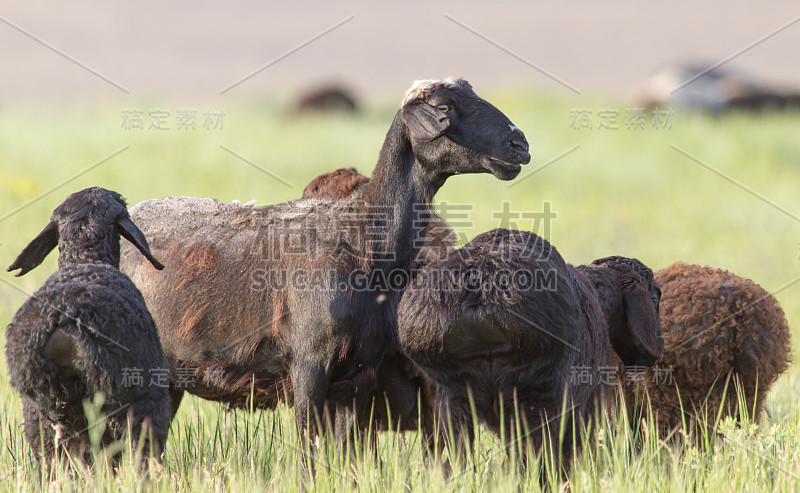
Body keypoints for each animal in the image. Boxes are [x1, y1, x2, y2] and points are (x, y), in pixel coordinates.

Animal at [120, 78, 532, 442]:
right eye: (444, 107)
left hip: (172, 374)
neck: (363, 241)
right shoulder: (308, 364)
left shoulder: (355, 378)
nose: (520, 144)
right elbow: (309, 449)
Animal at [396, 231, 664, 468]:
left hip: (451, 400)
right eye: (655, 298)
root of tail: (481, 290)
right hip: (537, 397)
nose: (659, 345)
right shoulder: (585, 405)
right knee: (538, 458)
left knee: (452, 461)